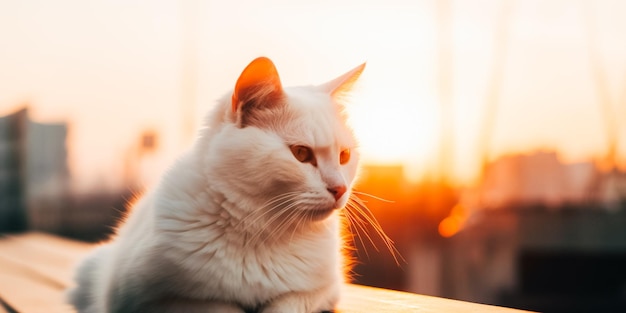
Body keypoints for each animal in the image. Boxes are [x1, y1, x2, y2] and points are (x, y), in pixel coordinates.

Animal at [69, 56, 366, 312]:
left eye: (344, 156)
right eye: (301, 153)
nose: (339, 189)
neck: (259, 231)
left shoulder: (321, 291)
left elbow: (286, 305)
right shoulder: (151, 299)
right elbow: (221, 307)